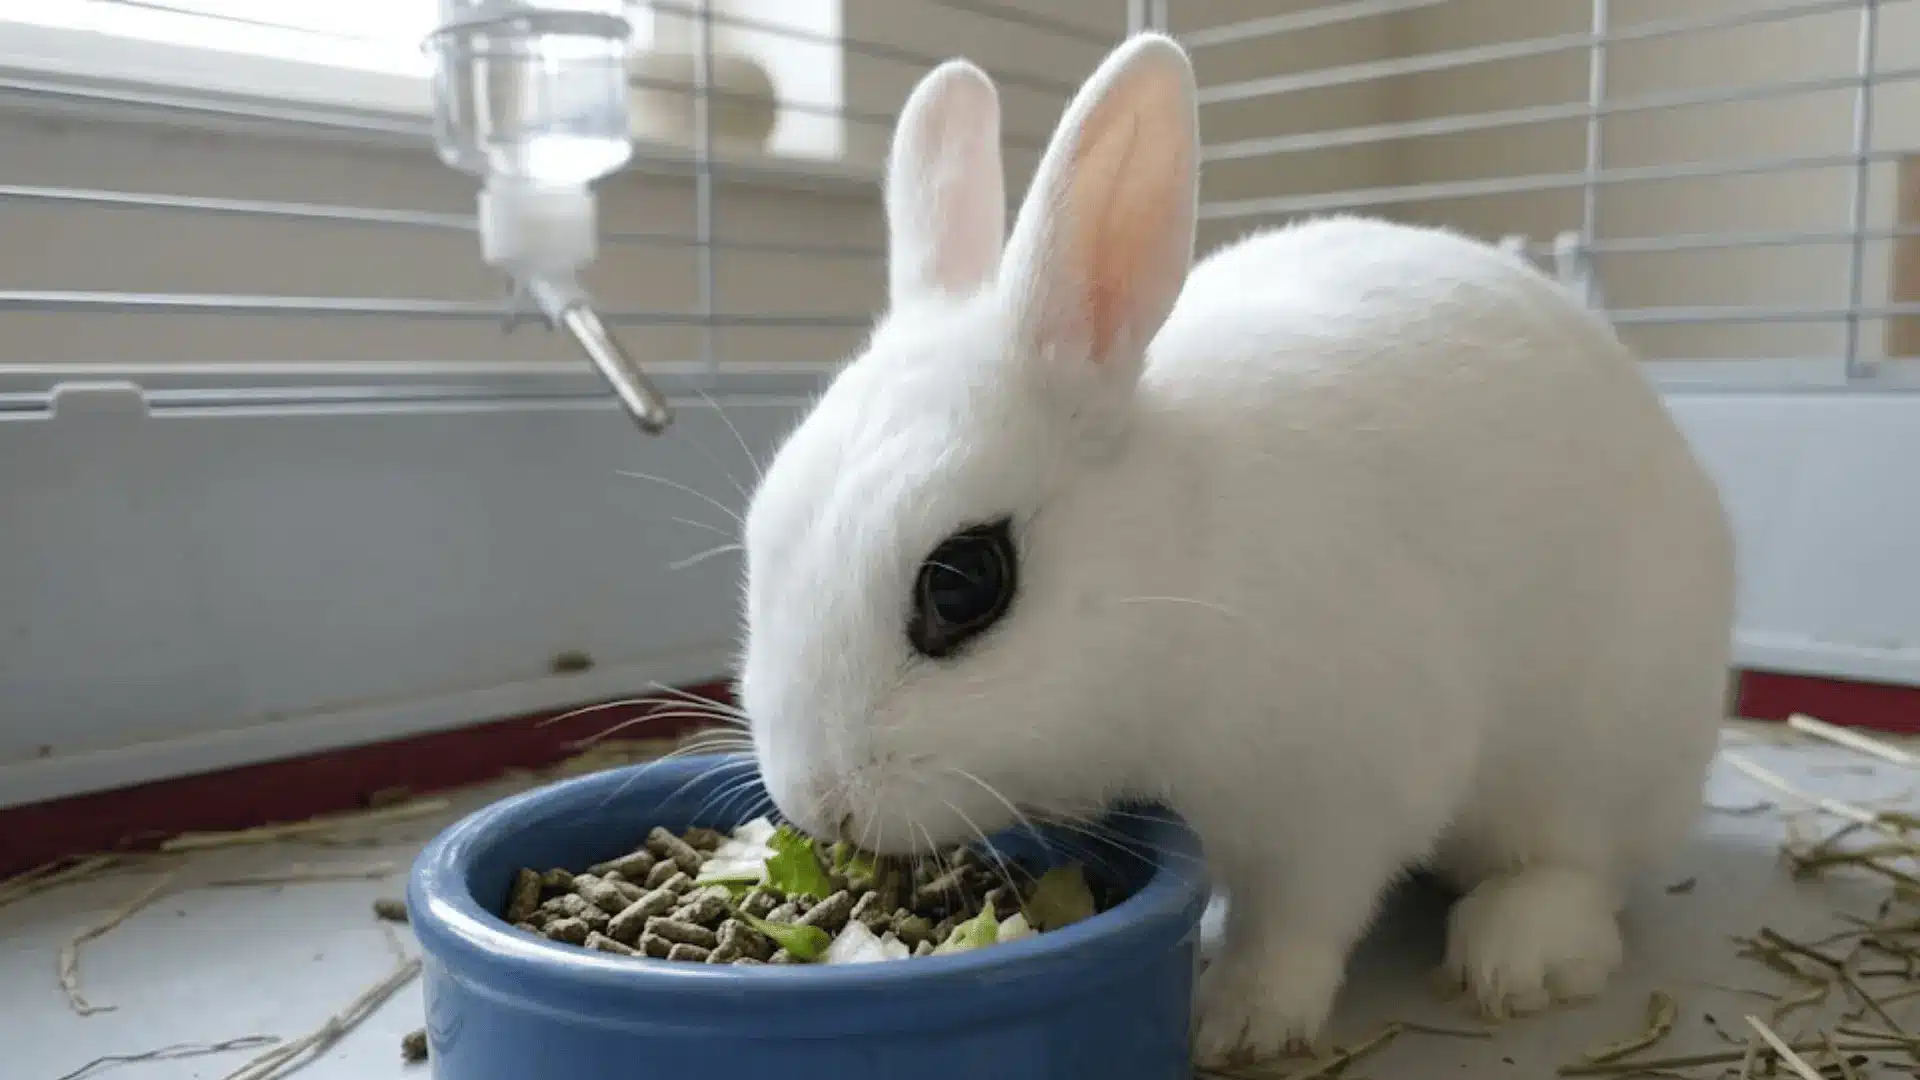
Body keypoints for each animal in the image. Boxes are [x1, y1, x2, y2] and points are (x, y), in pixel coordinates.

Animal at [738, 31, 1735, 1065]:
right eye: (758, 537)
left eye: (965, 583)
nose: (818, 801)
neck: (1177, 569)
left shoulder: (1348, 790)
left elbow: (1298, 921)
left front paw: (1239, 1021)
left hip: (1601, 750)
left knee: (1585, 869)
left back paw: (1515, 954)